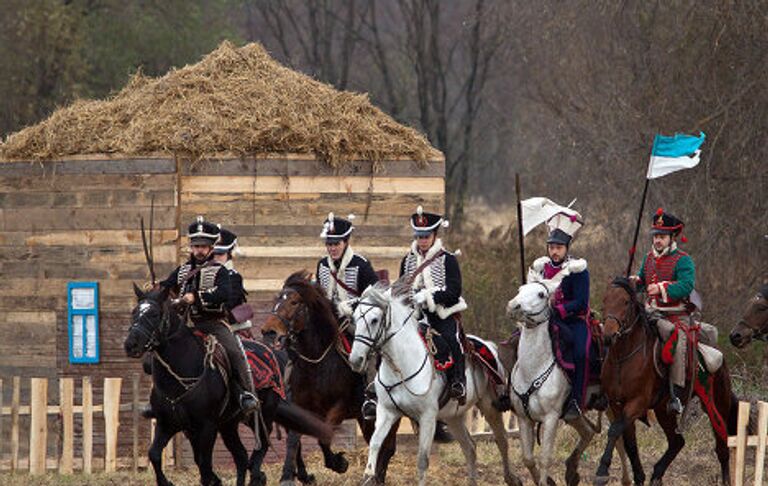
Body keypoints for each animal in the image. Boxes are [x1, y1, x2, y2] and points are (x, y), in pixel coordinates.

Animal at [123, 284, 332, 486]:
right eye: (134, 312)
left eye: (154, 314)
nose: (130, 344)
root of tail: (274, 353)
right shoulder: (168, 424)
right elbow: (155, 455)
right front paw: (167, 481)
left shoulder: (207, 426)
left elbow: (204, 466)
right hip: (230, 424)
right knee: (241, 456)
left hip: (263, 414)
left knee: (264, 445)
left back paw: (262, 475)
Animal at [260, 272, 400, 486]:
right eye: (276, 300)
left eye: (294, 302)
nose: (268, 331)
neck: (317, 365)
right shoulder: (300, 406)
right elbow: (294, 440)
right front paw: (288, 476)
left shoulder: (338, 408)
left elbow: (324, 436)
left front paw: (339, 463)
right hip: (365, 418)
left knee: (388, 446)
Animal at [350, 280, 520, 486]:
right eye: (355, 318)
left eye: (374, 320)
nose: (355, 359)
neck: (401, 367)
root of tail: (488, 345)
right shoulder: (386, 411)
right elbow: (375, 443)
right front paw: (368, 477)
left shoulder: (427, 417)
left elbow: (422, 460)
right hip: (453, 416)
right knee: (470, 448)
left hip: (489, 406)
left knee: (502, 440)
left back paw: (511, 477)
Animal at [508, 280, 628, 486]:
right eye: (520, 290)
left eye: (541, 294)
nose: (514, 306)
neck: (534, 370)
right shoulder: (524, 419)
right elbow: (528, 458)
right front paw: (548, 479)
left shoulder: (550, 418)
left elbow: (545, 458)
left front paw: (545, 481)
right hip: (574, 413)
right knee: (588, 431)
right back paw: (572, 470)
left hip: (611, 406)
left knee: (618, 439)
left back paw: (622, 478)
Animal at [592, 278, 736, 486]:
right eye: (605, 300)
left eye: (626, 302)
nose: (608, 336)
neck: (623, 358)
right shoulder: (616, 404)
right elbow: (629, 442)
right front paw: (639, 477)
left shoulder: (636, 403)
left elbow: (614, 431)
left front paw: (602, 471)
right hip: (663, 410)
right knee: (677, 442)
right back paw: (657, 473)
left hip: (712, 402)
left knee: (721, 439)